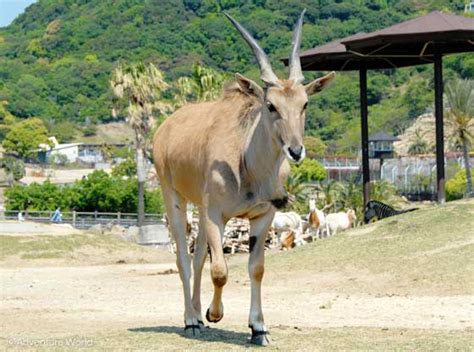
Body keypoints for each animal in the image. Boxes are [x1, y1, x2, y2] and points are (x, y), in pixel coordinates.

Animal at [154, 8, 336, 346]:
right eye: (271, 105)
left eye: (304, 103)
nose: (295, 150)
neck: (248, 165)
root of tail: (165, 128)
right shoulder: (217, 215)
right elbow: (220, 270)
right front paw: (215, 314)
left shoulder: (262, 216)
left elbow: (256, 268)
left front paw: (258, 328)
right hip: (174, 196)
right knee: (184, 259)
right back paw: (191, 319)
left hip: (201, 209)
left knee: (197, 257)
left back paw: (198, 316)